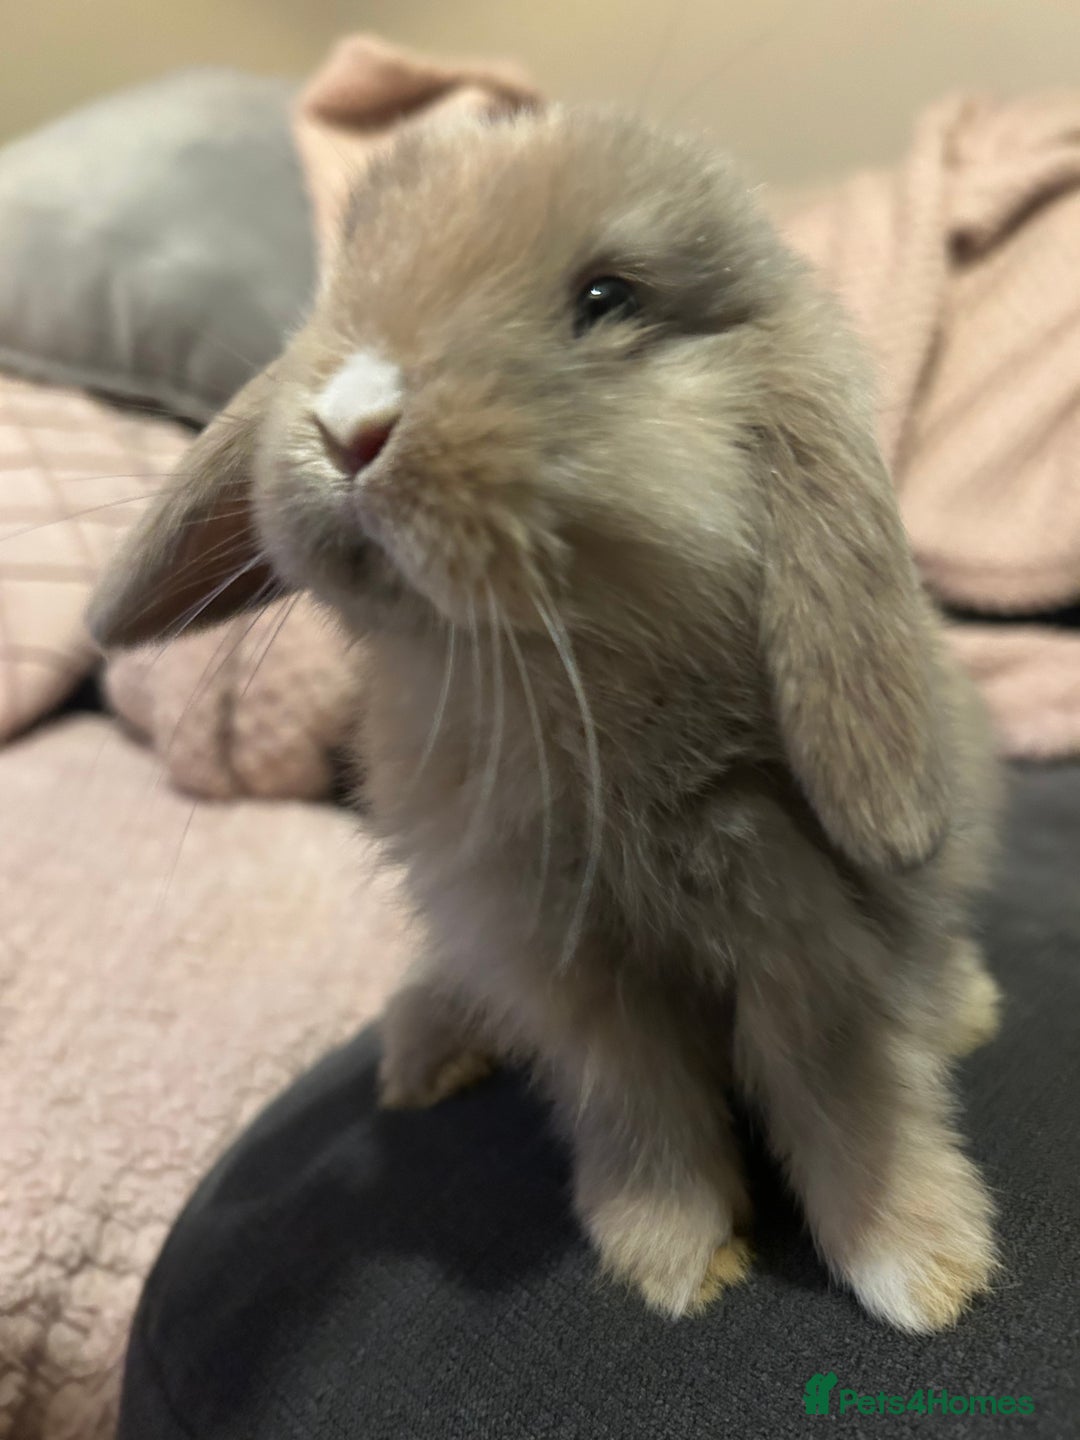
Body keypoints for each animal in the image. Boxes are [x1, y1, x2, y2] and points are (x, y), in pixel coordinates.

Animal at [88, 104, 1004, 1334]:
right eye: (344, 282)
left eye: (608, 297)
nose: (346, 421)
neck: (559, 681)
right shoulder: (565, 975)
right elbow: (639, 1103)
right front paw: (672, 1259)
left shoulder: (811, 941)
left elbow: (842, 1086)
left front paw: (921, 1271)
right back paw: (420, 1061)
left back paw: (967, 1013)